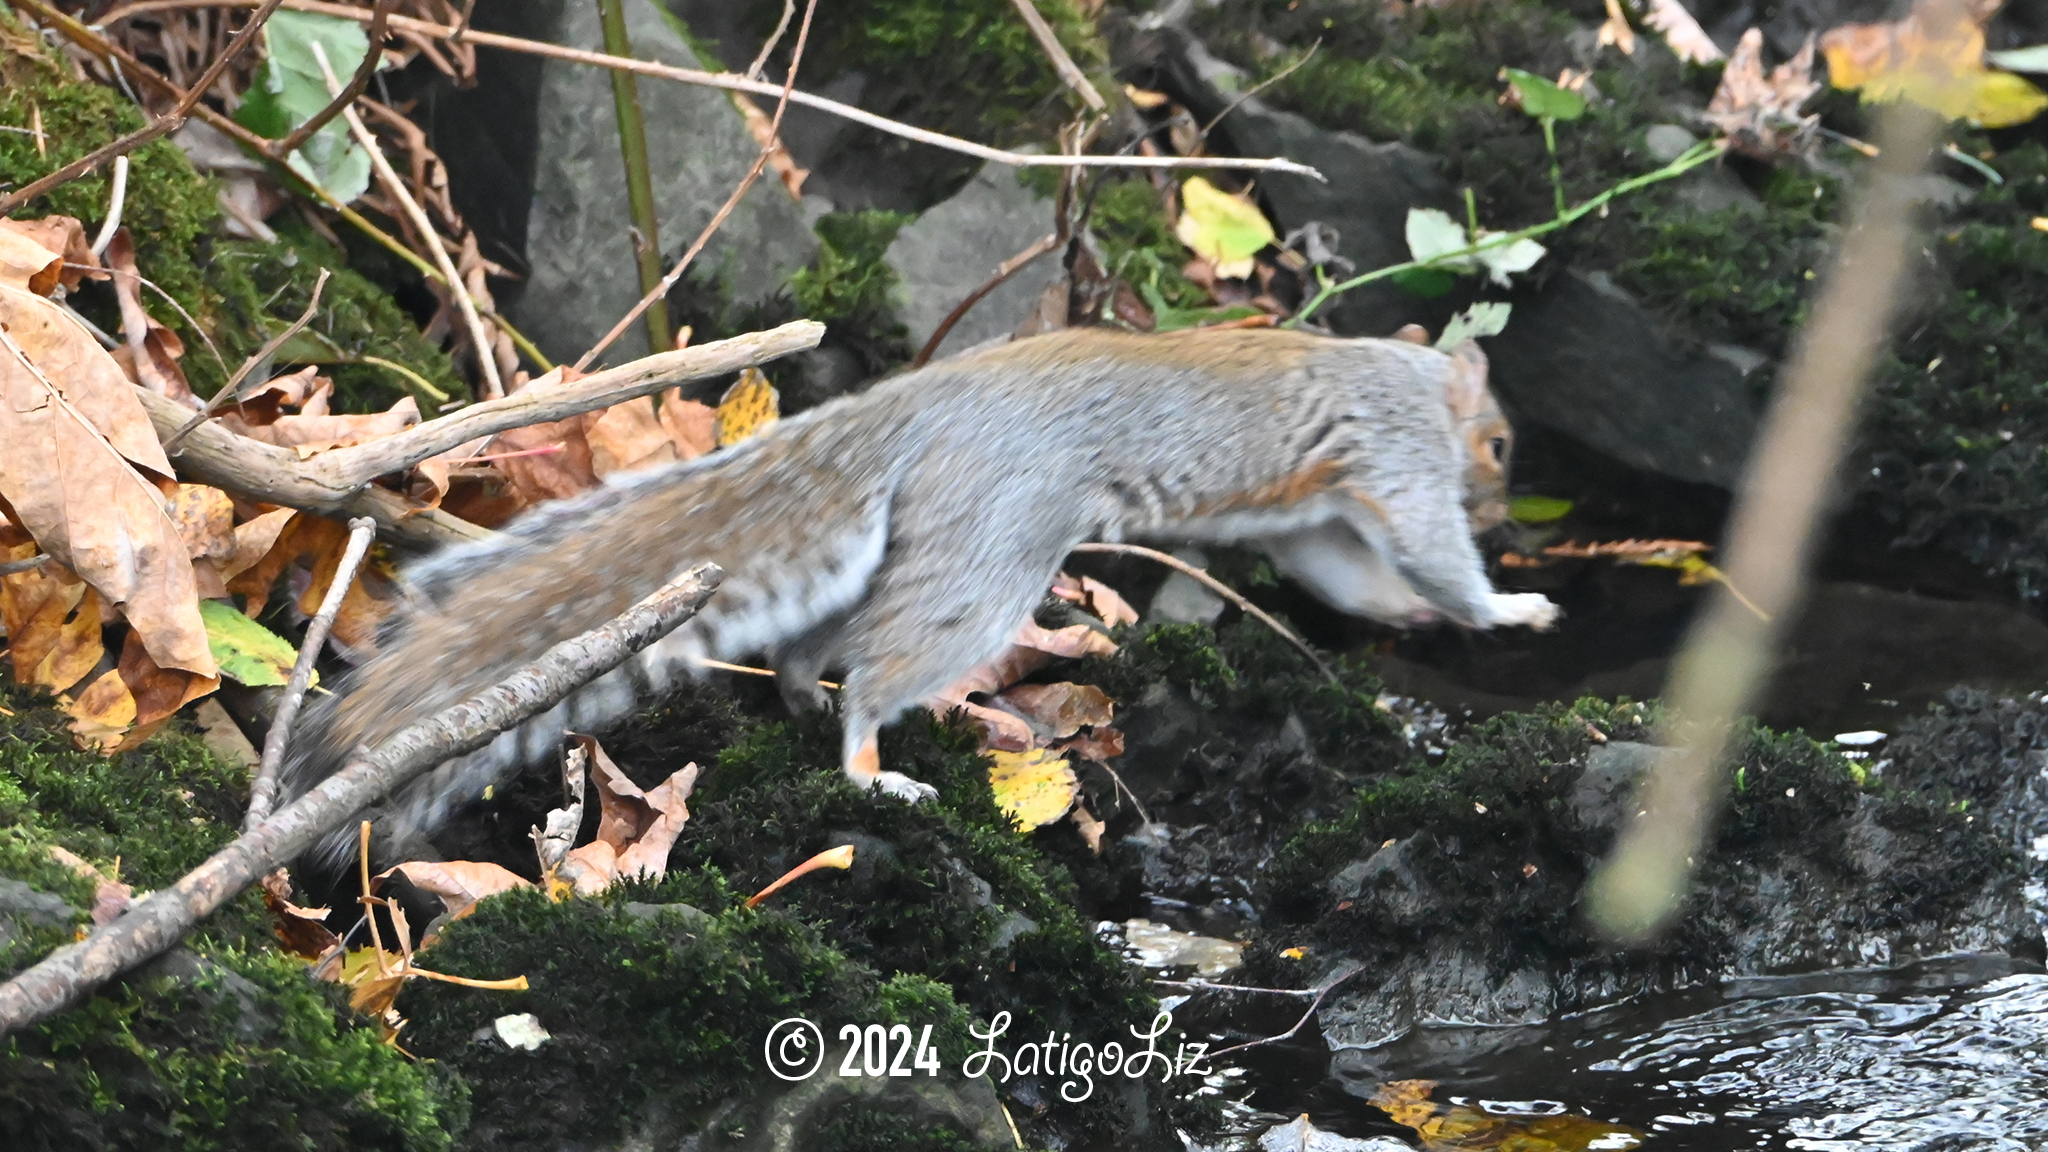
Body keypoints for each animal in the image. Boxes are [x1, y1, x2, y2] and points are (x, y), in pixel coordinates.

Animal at [284, 319, 1548, 860]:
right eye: (1496, 445)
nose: (1500, 513)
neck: (1413, 381)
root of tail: (919, 404)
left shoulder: (1322, 518)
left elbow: (1351, 578)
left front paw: (1422, 612)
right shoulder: (1396, 458)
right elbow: (1425, 547)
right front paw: (1505, 606)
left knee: (819, 647)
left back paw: (800, 703)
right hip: (993, 553)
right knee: (880, 666)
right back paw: (867, 767)